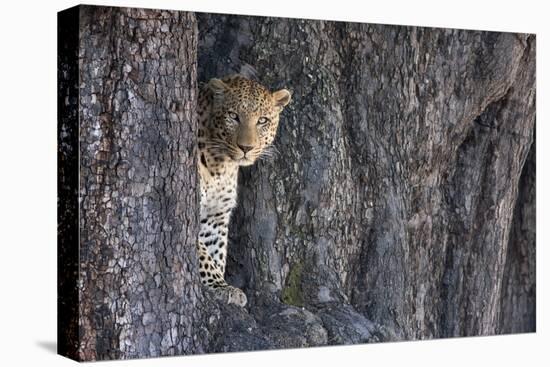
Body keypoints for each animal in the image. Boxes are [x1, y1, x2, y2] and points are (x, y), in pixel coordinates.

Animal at [198, 75, 294, 308]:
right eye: (233, 116)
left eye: (262, 121)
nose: (246, 148)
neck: (220, 165)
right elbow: (202, 253)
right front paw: (220, 285)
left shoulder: (216, 215)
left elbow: (215, 251)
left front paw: (220, 284)